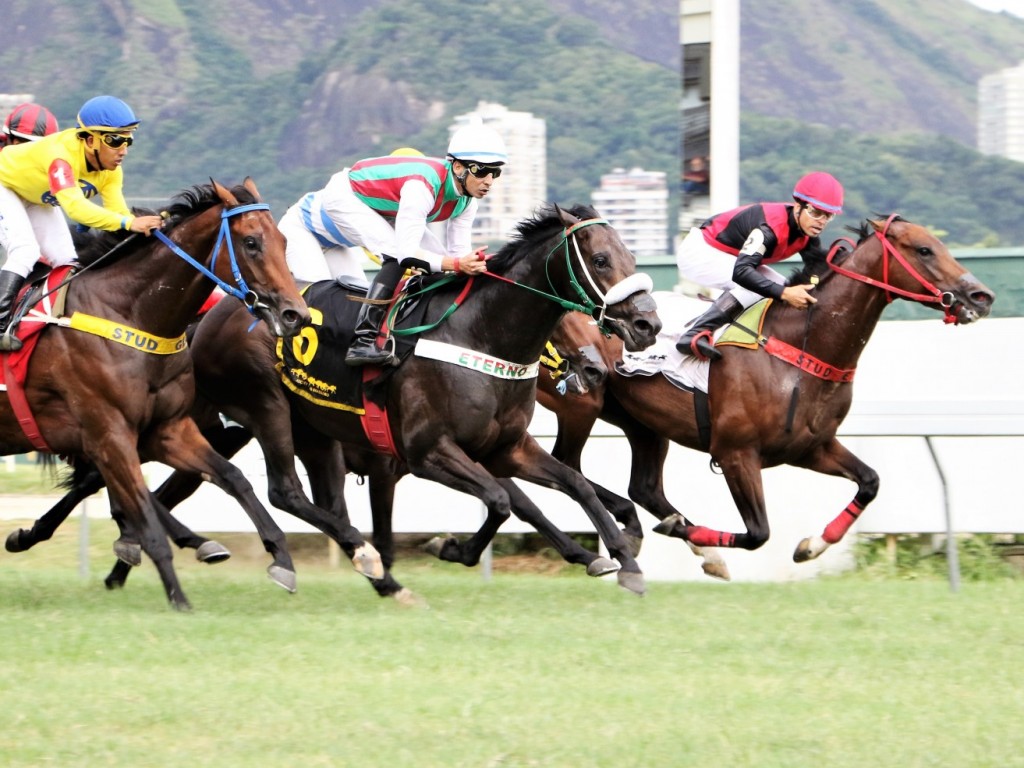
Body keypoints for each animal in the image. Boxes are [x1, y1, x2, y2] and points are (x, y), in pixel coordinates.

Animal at [1, 180, 311, 614]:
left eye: (283, 241)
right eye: (251, 242)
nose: (295, 315)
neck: (128, 313)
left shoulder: (168, 429)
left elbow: (234, 479)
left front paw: (281, 559)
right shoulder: (109, 435)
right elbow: (146, 514)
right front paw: (179, 597)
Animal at [528, 217, 991, 565]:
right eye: (924, 250)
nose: (980, 295)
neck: (801, 345)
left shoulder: (811, 447)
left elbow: (870, 482)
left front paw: (812, 545)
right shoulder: (736, 454)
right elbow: (758, 534)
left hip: (642, 421)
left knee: (643, 487)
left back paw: (690, 542)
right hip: (581, 404)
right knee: (567, 464)